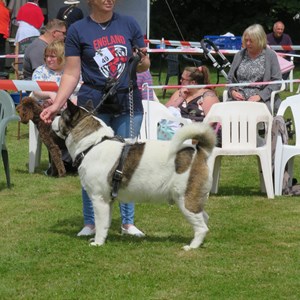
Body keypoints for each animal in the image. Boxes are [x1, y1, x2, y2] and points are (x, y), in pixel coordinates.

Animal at [52, 101, 216, 251]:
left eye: (62, 114)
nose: (53, 116)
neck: (93, 145)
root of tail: (199, 152)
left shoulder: (99, 200)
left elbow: (100, 223)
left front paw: (98, 242)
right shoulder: (108, 201)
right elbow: (105, 223)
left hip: (185, 199)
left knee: (202, 227)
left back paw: (192, 246)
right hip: (192, 199)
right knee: (205, 218)